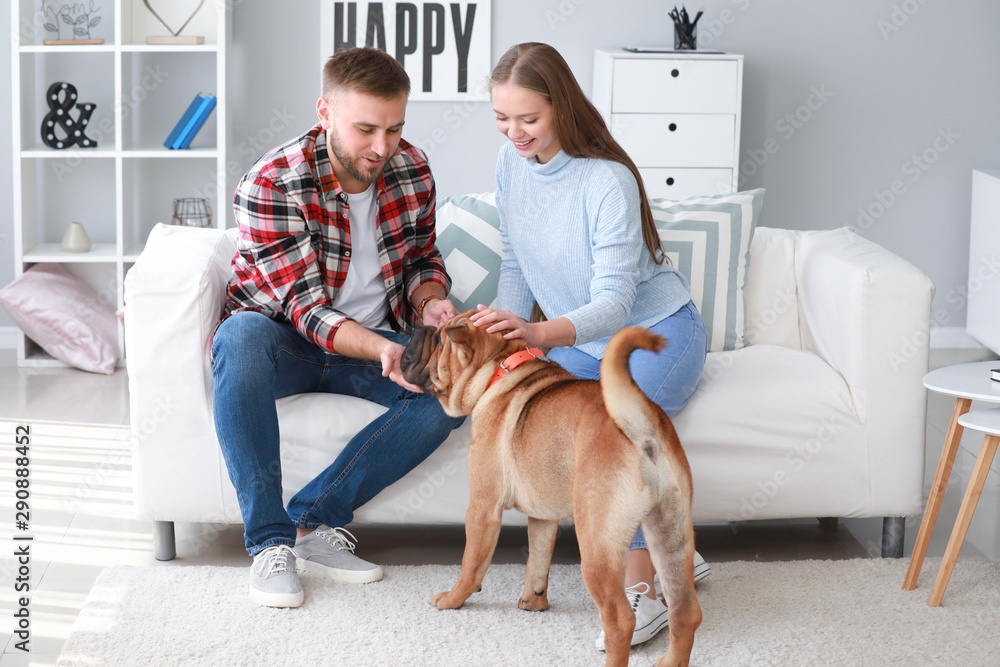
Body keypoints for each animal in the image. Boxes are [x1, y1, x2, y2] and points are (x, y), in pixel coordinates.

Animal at [400, 314, 704, 667]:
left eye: (438, 340)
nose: (419, 328)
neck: (500, 369)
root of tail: (640, 426)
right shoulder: (542, 517)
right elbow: (538, 558)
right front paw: (534, 601)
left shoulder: (482, 507)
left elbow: (471, 564)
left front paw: (452, 598)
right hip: (669, 533)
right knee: (684, 611)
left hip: (597, 544)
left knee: (619, 621)